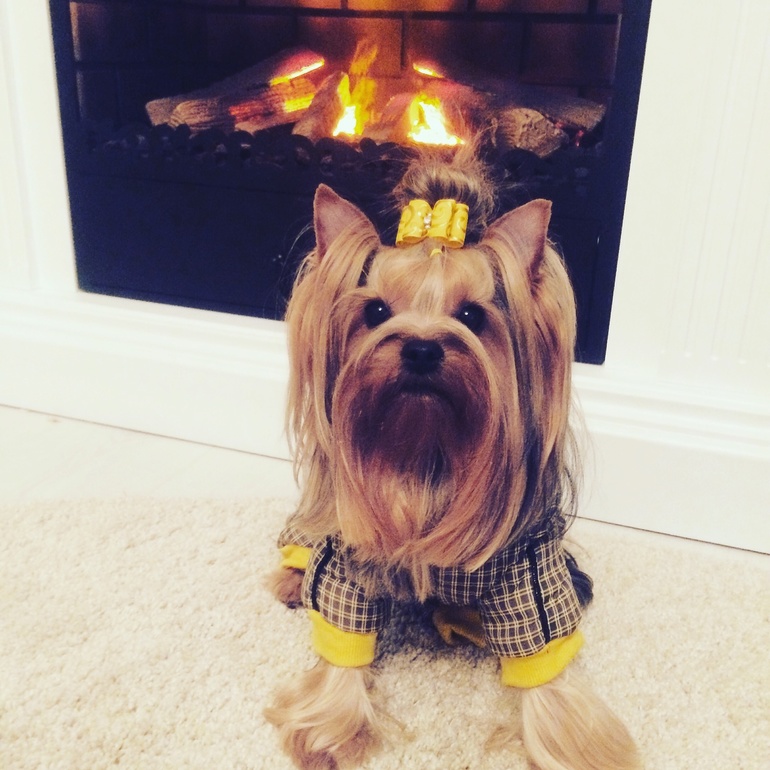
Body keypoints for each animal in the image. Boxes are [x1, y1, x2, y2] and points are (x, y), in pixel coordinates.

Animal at [265, 151, 640, 770]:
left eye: (471, 315)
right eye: (376, 310)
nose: (421, 348)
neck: (427, 450)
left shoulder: (528, 566)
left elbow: (547, 667)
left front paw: (574, 745)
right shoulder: (348, 559)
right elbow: (342, 639)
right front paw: (328, 729)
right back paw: (292, 576)